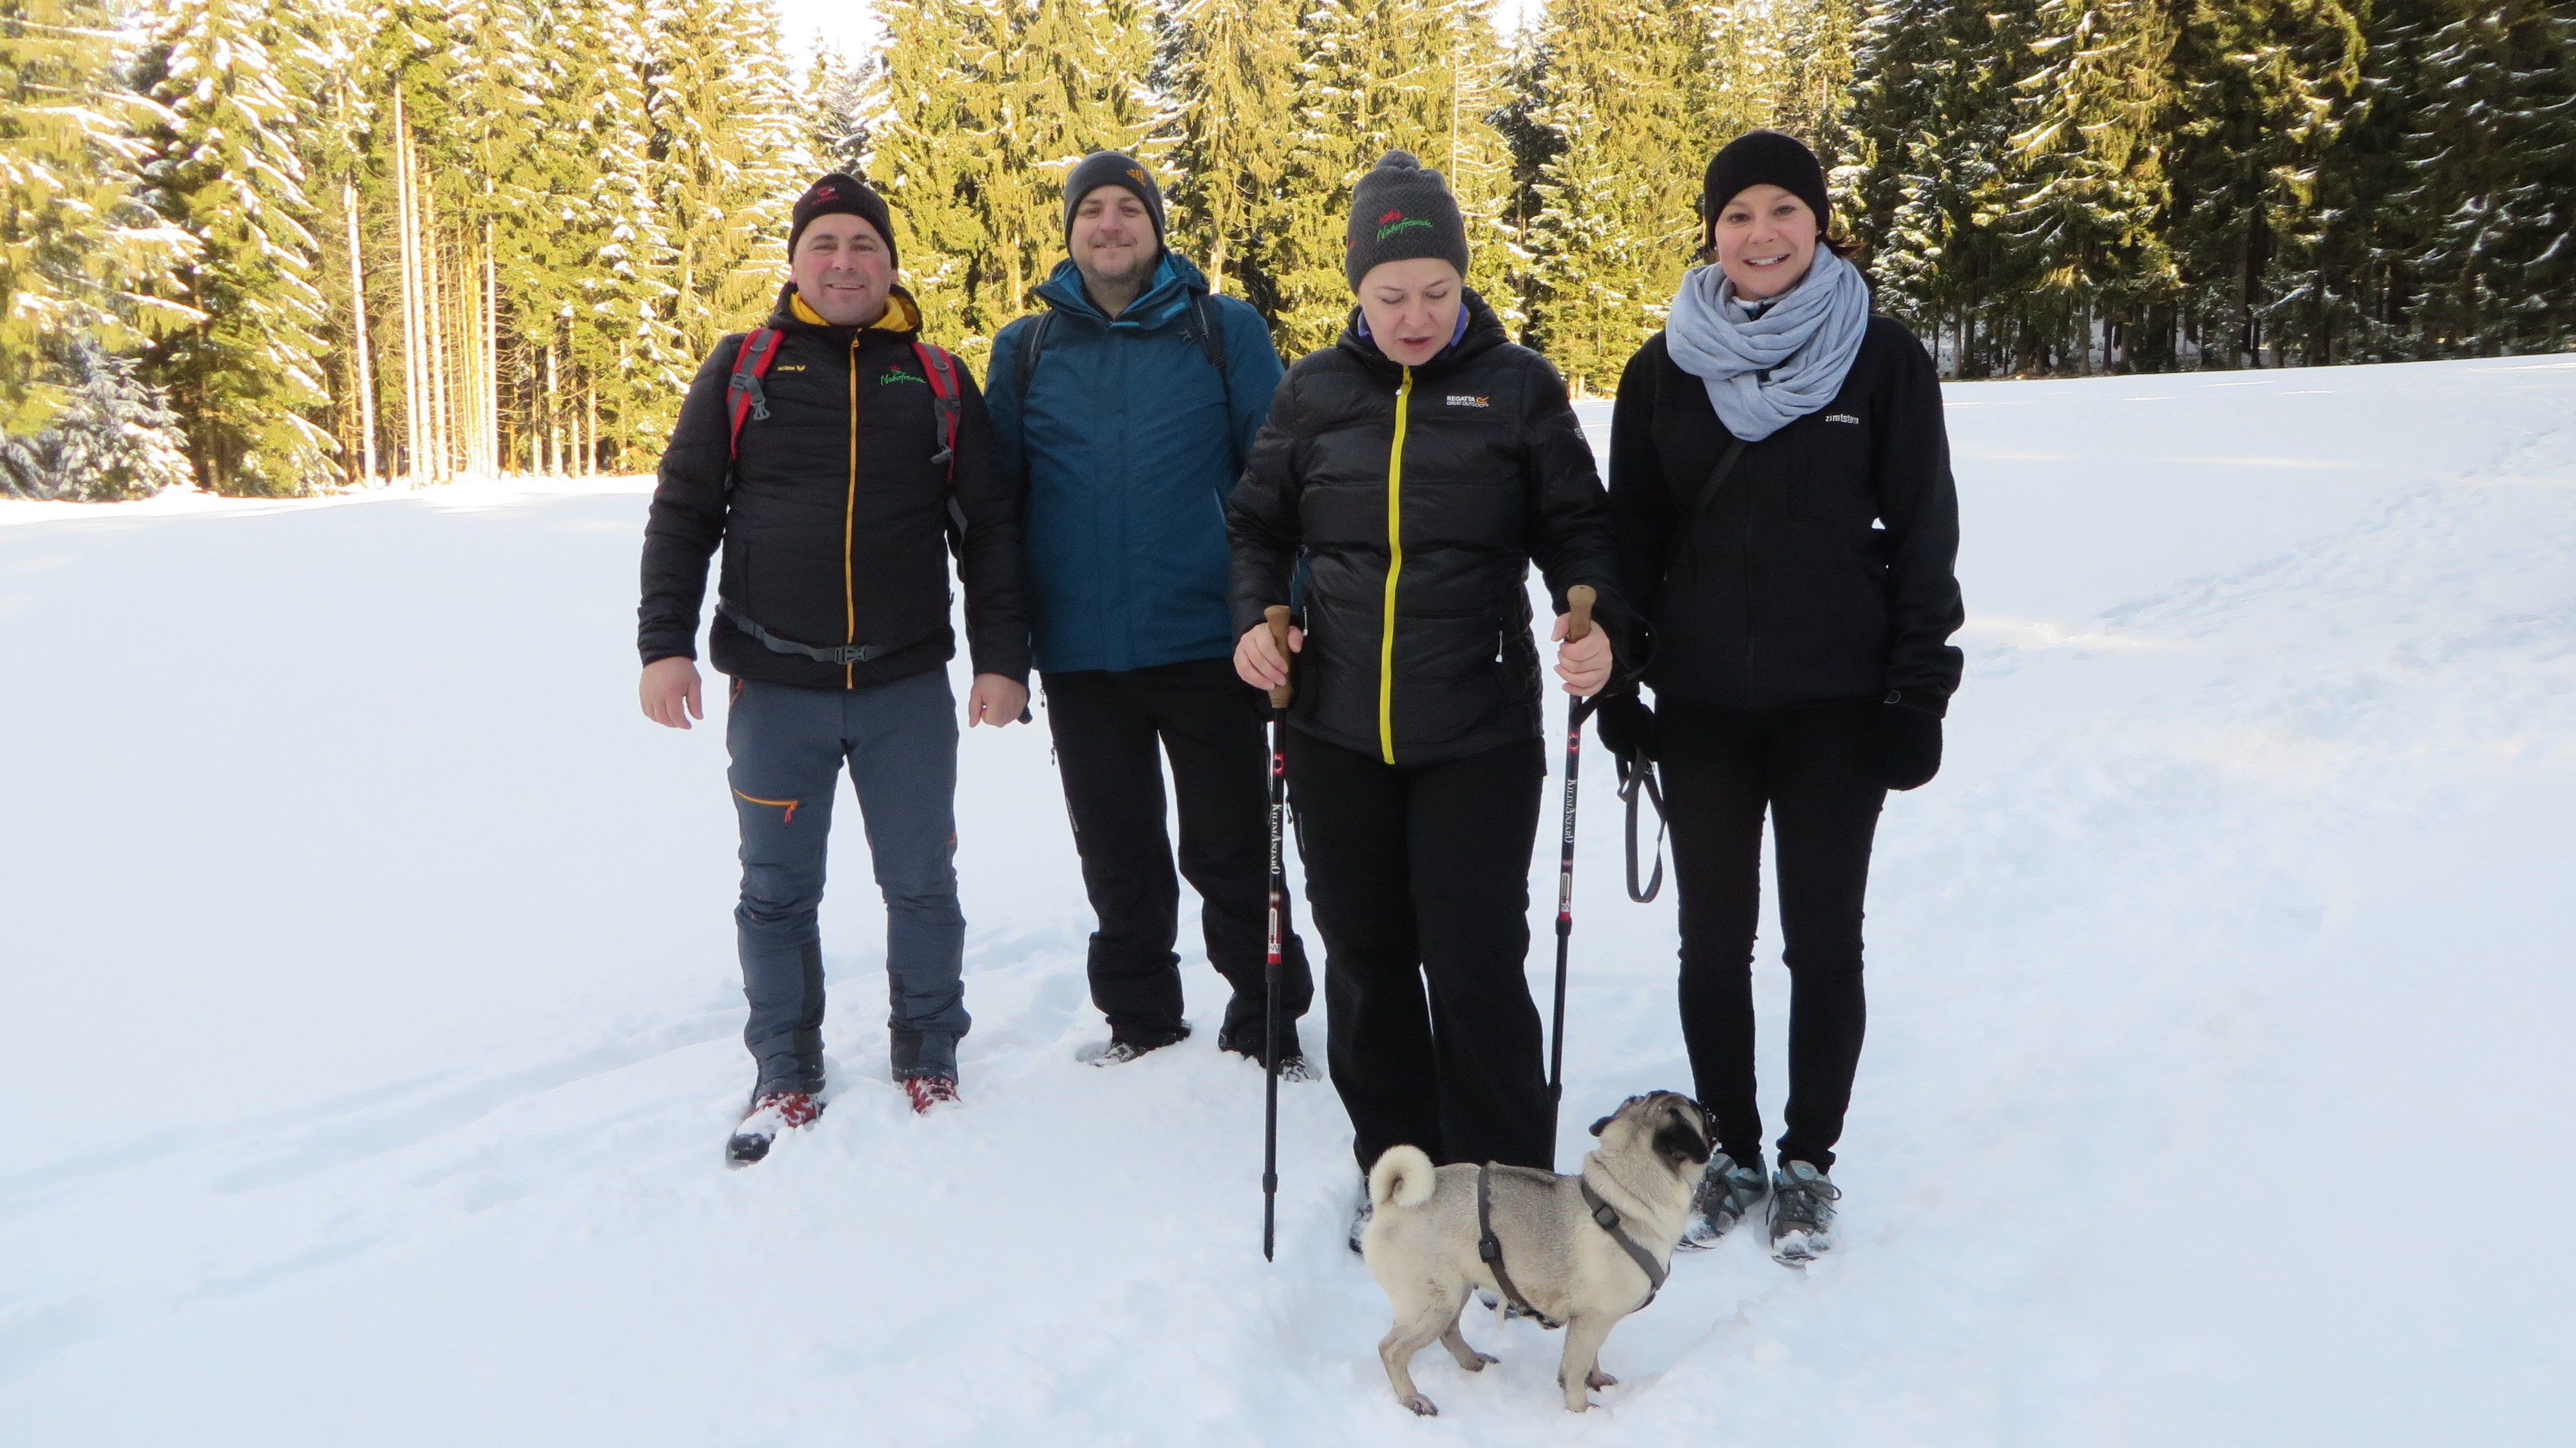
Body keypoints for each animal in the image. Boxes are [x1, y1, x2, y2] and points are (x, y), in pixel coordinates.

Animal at [1359, 1091, 1711, 1414]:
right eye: (1697, 1111)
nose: (1706, 1107)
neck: (1625, 1193)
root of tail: (1388, 1202)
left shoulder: (1588, 1321)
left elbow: (1591, 1359)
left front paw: (1595, 1381)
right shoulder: (1595, 1319)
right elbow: (1573, 1371)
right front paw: (1581, 1410)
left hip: (1454, 1292)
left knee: (1449, 1331)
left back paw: (1473, 1362)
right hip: (1430, 1304)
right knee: (1391, 1350)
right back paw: (1413, 1399)